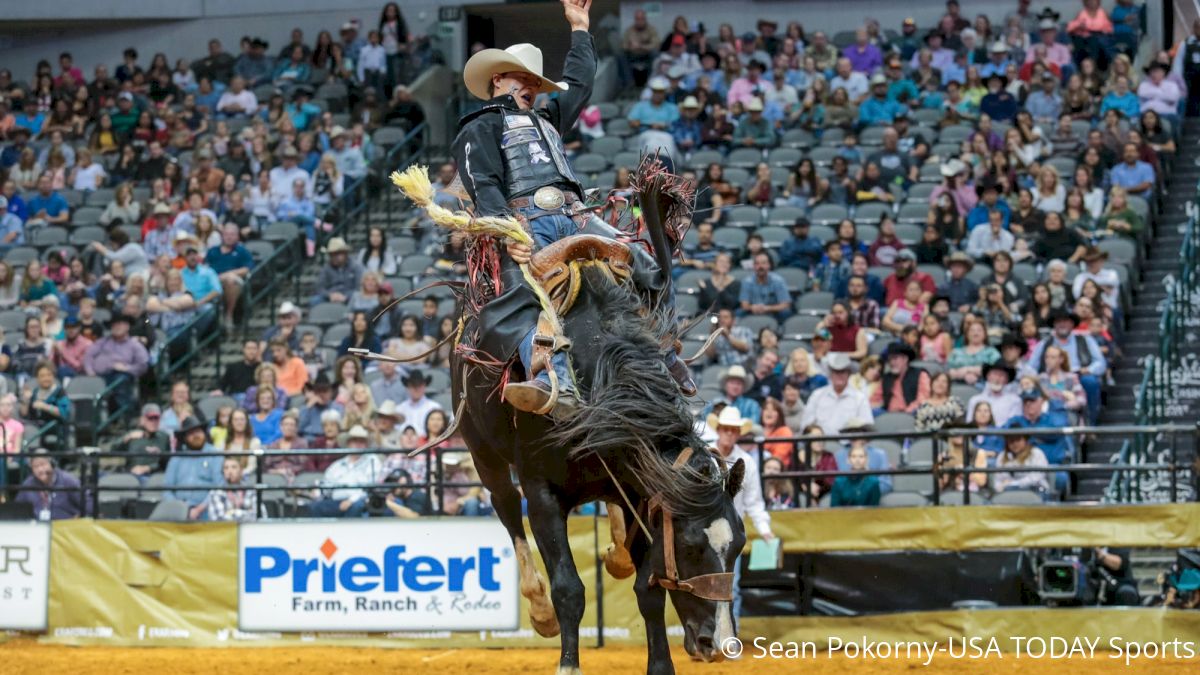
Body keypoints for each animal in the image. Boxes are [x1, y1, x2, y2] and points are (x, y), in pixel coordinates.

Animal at [451, 254, 744, 667]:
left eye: (739, 547)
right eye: (689, 547)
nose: (719, 644)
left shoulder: (641, 494)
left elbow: (649, 591)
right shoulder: (542, 495)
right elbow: (568, 589)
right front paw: (566, 659)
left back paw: (617, 554)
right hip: (482, 451)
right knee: (506, 505)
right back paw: (540, 610)